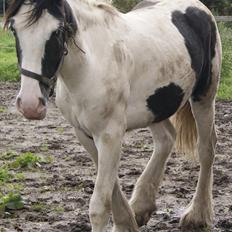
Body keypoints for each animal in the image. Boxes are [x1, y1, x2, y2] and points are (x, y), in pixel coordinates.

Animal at [4, 0, 221, 230]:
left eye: (58, 31)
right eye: (14, 29)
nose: (30, 104)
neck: (90, 67)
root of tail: (198, 7)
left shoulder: (110, 135)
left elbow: (99, 206)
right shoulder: (85, 133)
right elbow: (111, 189)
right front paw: (126, 222)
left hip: (204, 97)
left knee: (206, 149)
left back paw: (197, 215)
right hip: (155, 106)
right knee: (166, 139)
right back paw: (141, 207)